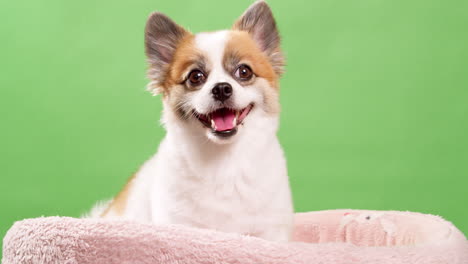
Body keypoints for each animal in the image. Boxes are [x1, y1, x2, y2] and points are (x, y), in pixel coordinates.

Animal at [93, 0, 294, 241]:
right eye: (195, 77)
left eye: (244, 72)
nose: (221, 88)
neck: (225, 163)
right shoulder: (182, 224)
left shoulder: (270, 230)